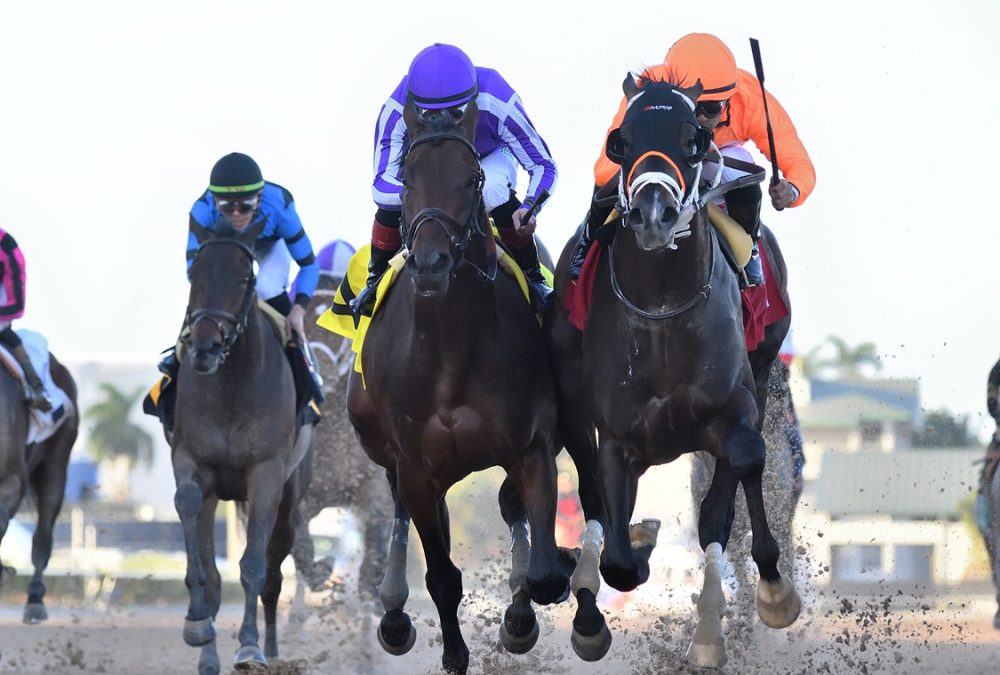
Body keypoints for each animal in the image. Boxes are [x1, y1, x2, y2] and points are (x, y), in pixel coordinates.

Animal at [170, 219, 312, 672]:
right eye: (193, 274)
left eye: (244, 278)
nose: (205, 346)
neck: (233, 384)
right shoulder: (192, 460)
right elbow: (189, 510)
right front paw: (198, 625)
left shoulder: (266, 473)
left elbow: (254, 566)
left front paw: (250, 646)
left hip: (291, 497)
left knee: (273, 575)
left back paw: (271, 650)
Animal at [348, 100, 572, 675]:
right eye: (406, 178)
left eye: (472, 179)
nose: (431, 263)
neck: (450, 347)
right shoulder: (415, 465)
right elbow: (442, 576)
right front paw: (451, 651)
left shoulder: (533, 446)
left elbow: (542, 568)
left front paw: (527, 609)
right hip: (388, 451)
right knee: (401, 508)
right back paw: (394, 614)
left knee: (511, 508)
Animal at [544, 76, 800, 668]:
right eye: (623, 139)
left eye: (693, 139)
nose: (654, 214)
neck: (661, 308)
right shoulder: (617, 435)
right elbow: (617, 555)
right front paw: (628, 558)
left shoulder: (736, 406)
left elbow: (736, 477)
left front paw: (773, 593)